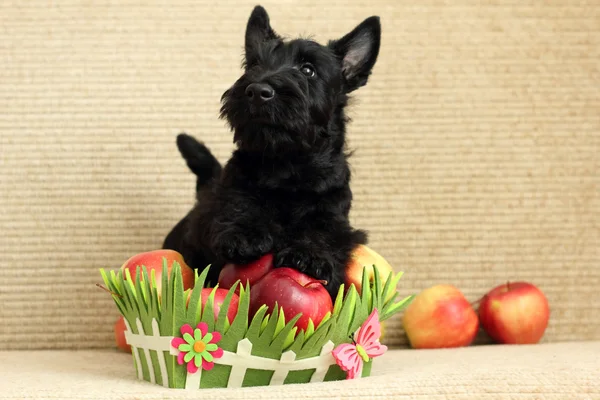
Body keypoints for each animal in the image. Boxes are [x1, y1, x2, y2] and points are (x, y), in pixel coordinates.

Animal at [163, 5, 380, 300]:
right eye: (254, 65)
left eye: (308, 69)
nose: (256, 90)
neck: (286, 165)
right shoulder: (227, 199)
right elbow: (239, 206)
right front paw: (246, 235)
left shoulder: (335, 214)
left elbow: (324, 231)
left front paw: (309, 255)